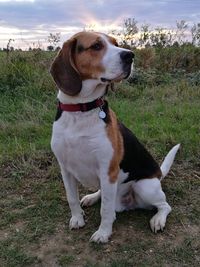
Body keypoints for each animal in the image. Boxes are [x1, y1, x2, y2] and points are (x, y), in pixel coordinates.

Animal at [49, 30, 180, 244]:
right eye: (96, 46)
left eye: (116, 44)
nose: (130, 56)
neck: (81, 110)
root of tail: (159, 174)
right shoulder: (65, 169)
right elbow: (71, 198)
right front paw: (77, 219)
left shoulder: (107, 170)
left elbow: (106, 210)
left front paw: (103, 233)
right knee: (104, 195)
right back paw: (92, 196)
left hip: (145, 187)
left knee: (165, 205)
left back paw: (158, 219)